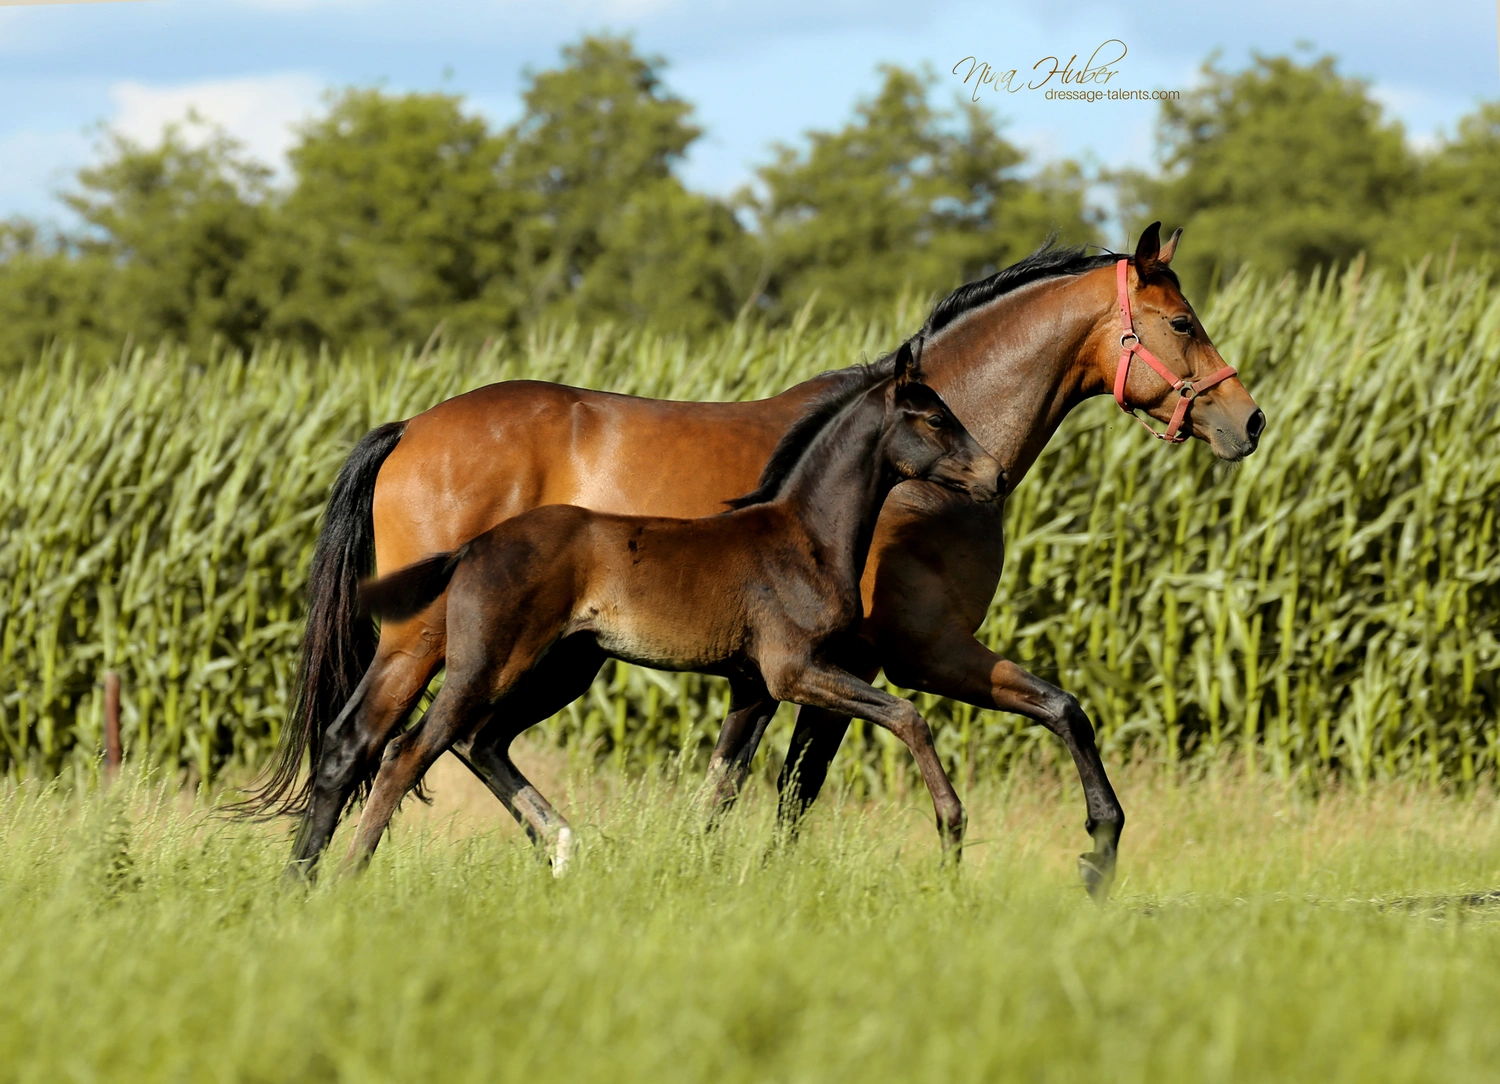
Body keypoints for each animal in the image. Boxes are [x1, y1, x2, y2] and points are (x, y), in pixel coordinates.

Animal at [341, 344, 1002, 870]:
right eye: (936, 417)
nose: (993, 476)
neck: (804, 537)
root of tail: (473, 548)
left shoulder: (754, 683)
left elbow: (727, 780)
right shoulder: (795, 672)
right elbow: (907, 716)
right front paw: (952, 831)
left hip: (557, 668)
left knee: (474, 742)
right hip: (487, 665)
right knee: (407, 751)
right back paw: (346, 878)